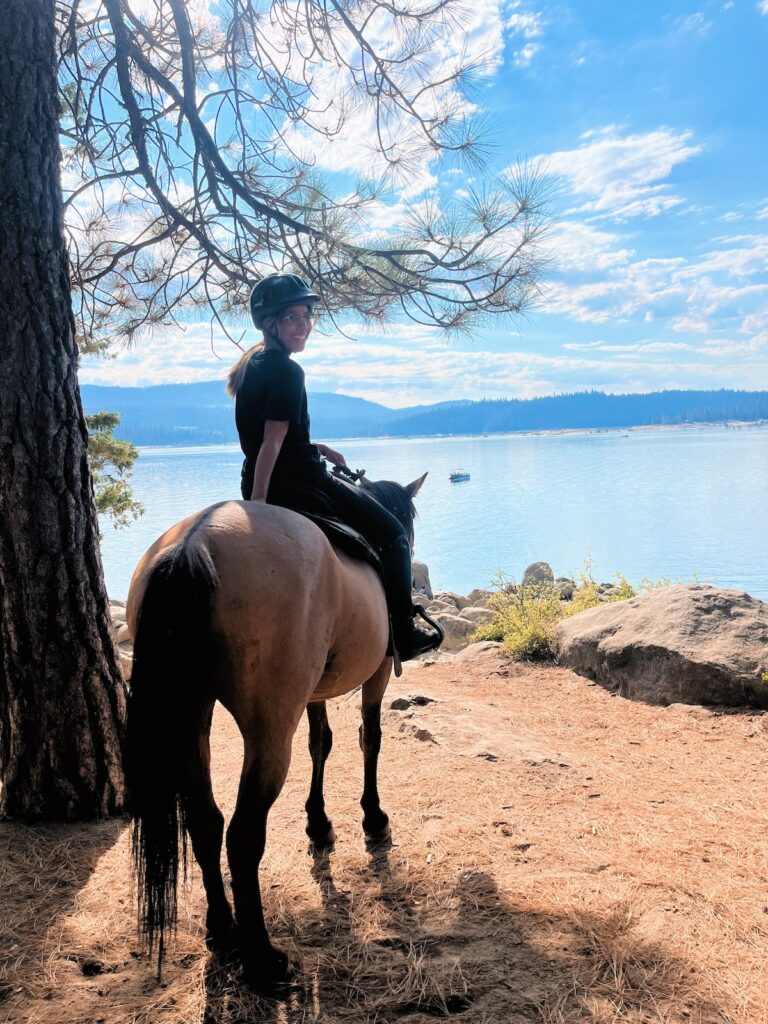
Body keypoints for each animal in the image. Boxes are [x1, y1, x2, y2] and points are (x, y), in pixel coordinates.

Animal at [126, 471, 434, 983]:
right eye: (407, 520)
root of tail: (193, 543)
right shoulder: (377, 674)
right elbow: (369, 739)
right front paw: (372, 817)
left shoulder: (313, 693)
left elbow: (320, 743)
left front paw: (319, 823)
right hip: (268, 731)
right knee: (242, 836)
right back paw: (261, 956)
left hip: (191, 720)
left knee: (205, 822)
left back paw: (221, 931)